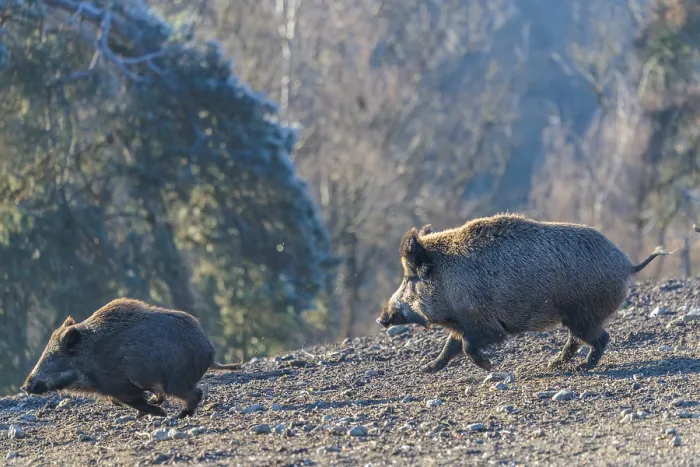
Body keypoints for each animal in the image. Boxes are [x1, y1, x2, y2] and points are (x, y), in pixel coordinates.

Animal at [21, 298, 241, 418]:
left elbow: (133, 401)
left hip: (176, 380)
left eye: (52, 357)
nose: (25, 386)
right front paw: (152, 407)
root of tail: (209, 351)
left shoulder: (119, 386)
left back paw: (179, 416)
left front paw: (158, 413)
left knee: (195, 393)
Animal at [377, 213, 673, 373]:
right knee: (576, 340)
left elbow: (467, 346)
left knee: (600, 337)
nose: (381, 318)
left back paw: (580, 368)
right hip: (575, 317)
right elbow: (450, 347)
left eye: (410, 277)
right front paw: (427, 368)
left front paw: (490, 367)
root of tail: (627, 265)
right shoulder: (462, 324)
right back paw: (553, 365)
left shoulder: (486, 325)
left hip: (584, 313)